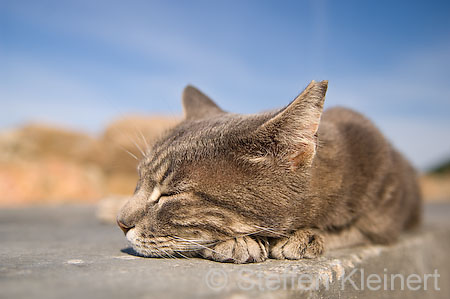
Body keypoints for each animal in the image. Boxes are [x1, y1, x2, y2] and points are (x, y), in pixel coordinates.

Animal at [116, 81, 422, 264]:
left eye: (171, 194)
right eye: (138, 181)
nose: (120, 223)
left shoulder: (384, 217)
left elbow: (352, 230)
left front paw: (305, 237)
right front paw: (239, 241)